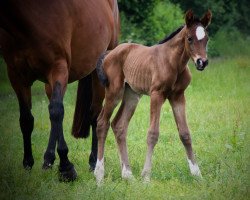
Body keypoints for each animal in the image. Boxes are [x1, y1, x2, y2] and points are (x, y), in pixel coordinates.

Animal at [0, 0, 119, 181]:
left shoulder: (58, 68)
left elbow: (57, 111)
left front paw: (66, 168)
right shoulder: (16, 76)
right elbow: (26, 119)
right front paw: (28, 163)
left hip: (100, 70)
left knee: (95, 114)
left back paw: (93, 162)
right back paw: (48, 161)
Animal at [94, 10, 212, 184]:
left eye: (206, 38)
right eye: (190, 38)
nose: (201, 62)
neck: (174, 63)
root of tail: (110, 53)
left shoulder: (178, 96)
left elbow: (185, 133)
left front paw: (197, 174)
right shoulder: (157, 94)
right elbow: (152, 134)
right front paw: (146, 176)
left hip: (132, 95)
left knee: (119, 125)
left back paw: (128, 174)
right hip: (114, 92)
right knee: (102, 123)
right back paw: (99, 175)